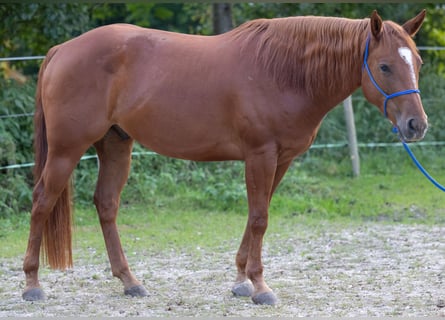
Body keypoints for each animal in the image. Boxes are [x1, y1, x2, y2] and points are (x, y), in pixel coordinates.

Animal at [22, 10, 424, 304]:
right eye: (385, 66)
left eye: (417, 62)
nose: (416, 125)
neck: (283, 71)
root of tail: (61, 50)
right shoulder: (260, 155)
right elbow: (260, 218)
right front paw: (260, 287)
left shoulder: (280, 160)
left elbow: (256, 214)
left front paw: (242, 280)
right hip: (66, 150)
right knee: (42, 201)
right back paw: (32, 285)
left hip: (117, 145)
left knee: (106, 204)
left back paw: (130, 281)